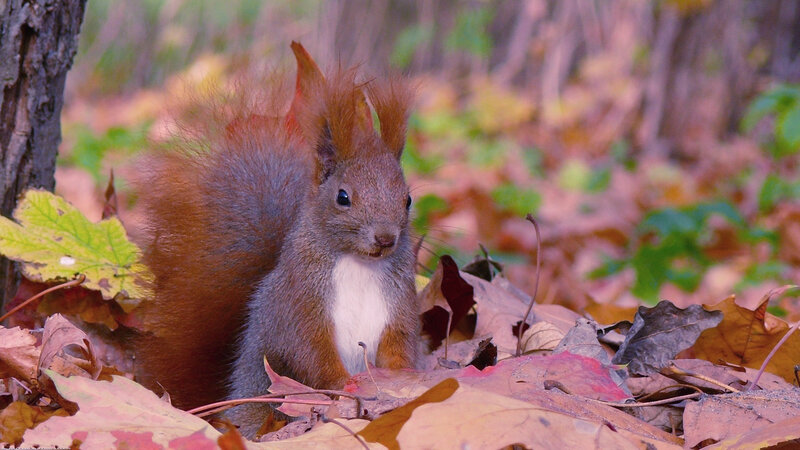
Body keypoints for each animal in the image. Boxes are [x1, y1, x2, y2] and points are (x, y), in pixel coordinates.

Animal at [134, 42, 420, 437]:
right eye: (343, 197)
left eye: (407, 200)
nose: (385, 238)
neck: (360, 264)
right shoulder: (300, 305)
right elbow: (311, 354)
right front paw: (346, 386)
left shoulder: (399, 304)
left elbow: (399, 347)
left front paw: (402, 382)